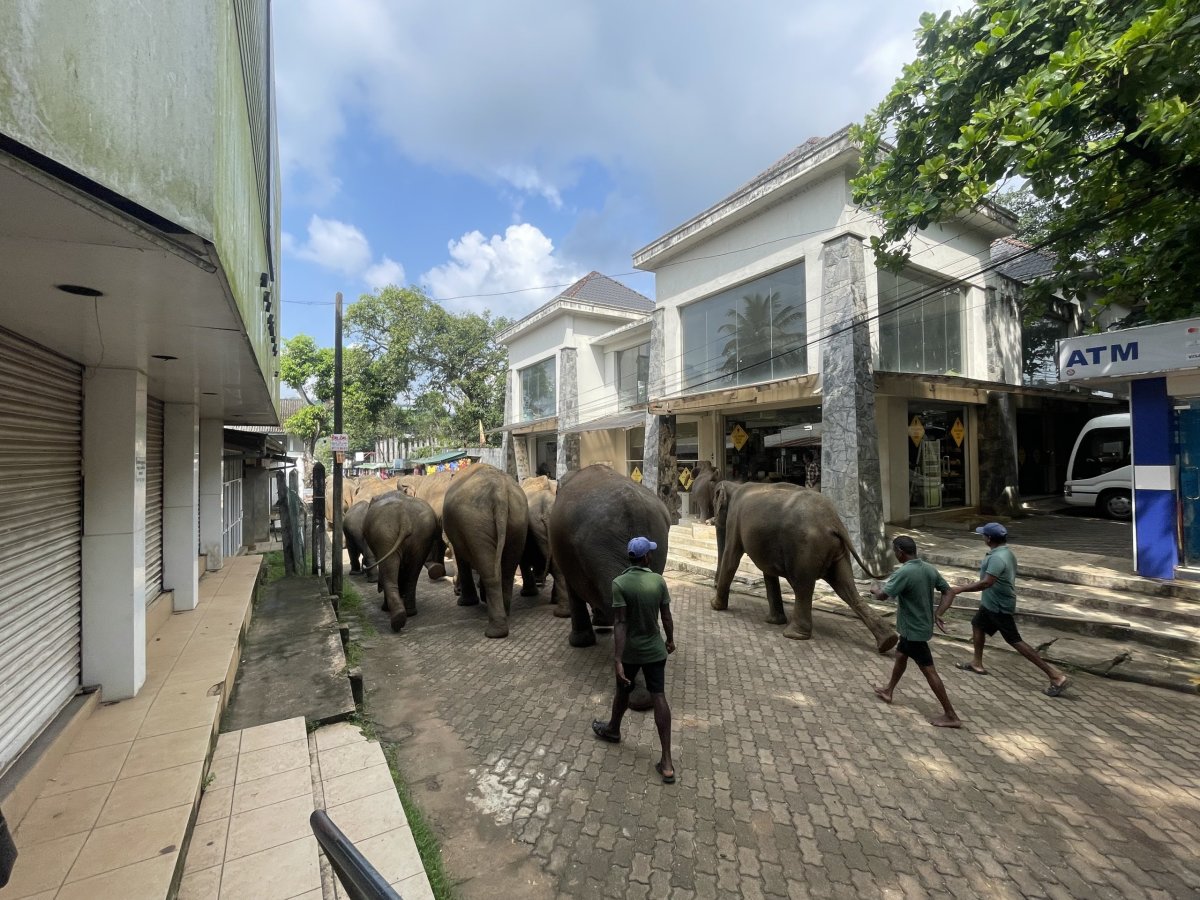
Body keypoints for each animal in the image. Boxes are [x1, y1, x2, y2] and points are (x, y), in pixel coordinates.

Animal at [363, 492, 439, 632]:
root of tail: (404, 518)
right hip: (421, 535)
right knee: (413, 572)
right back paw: (408, 613)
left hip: (384, 533)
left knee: (389, 570)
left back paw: (394, 616)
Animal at [442, 464, 530, 639]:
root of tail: (500, 490)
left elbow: (460, 558)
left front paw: (464, 602)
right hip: (517, 519)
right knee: (505, 569)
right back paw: (505, 613)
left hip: (475, 522)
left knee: (490, 569)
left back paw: (495, 632)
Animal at [712, 480, 898, 652]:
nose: (713, 586)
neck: (735, 484)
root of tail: (833, 521)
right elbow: (768, 573)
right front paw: (774, 621)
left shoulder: (734, 520)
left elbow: (731, 558)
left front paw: (715, 606)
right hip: (836, 551)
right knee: (846, 588)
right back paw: (888, 642)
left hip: (805, 548)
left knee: (803, 586)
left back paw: (793, 634)